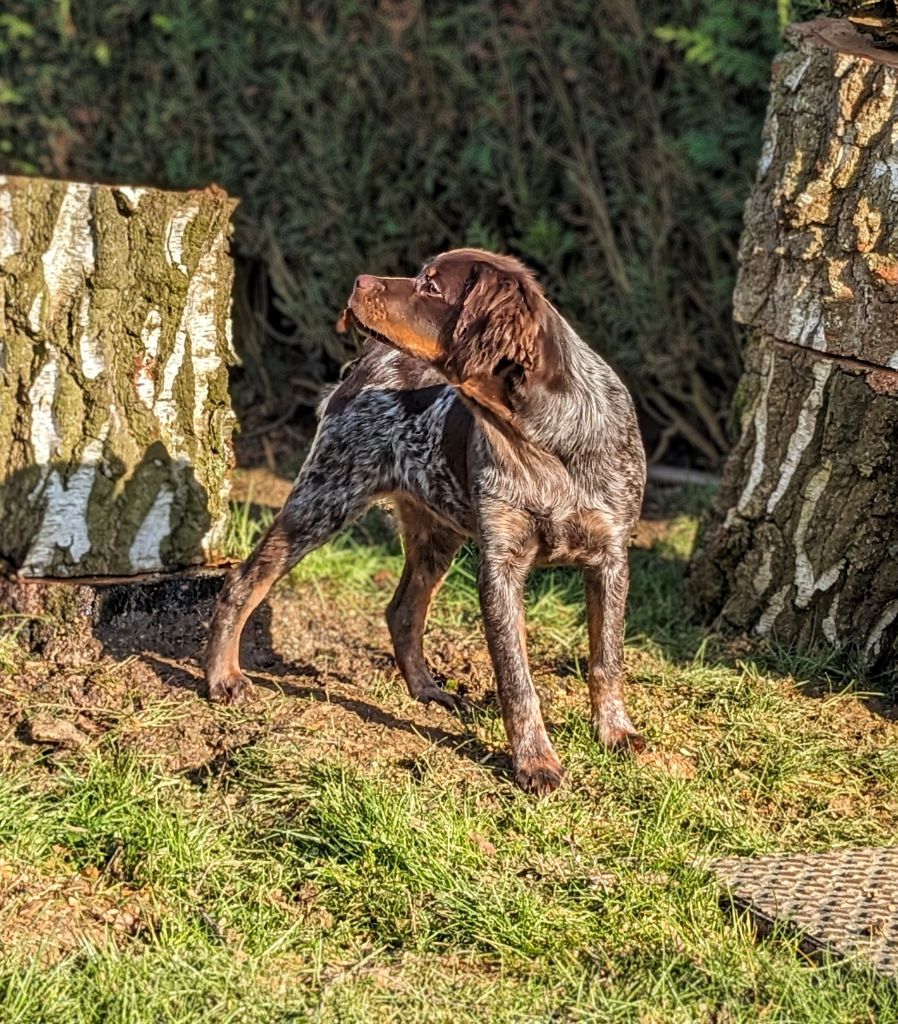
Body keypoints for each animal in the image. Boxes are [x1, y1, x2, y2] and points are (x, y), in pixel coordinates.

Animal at [204, 249, 643, 798]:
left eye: (431, 286)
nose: (358, 281)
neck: (543, 439)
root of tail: (364, 364)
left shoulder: (611, 556)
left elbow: (607, 659)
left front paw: (614, 732)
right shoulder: (499, 567)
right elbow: (517, 681)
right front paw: (535, 762)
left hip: (436, 531)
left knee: (403, 611)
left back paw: (427, 691)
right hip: (324, 498)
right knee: (243, 582)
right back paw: (221, 677)